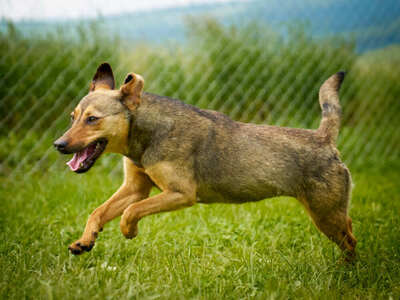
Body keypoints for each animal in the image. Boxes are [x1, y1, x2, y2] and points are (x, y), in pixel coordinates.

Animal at [53, 63, 356, 260]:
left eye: (92, 119)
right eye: (72, 117)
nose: (58, 145)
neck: (146, 134)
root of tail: (323, 138)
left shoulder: (180, 193)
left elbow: (131, 211)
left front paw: (129, 230)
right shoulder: (136, 188)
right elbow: (99, 212)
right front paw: (85, 241)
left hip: (325, 215)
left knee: (350, 241)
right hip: (329, 214)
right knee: (351, 229)